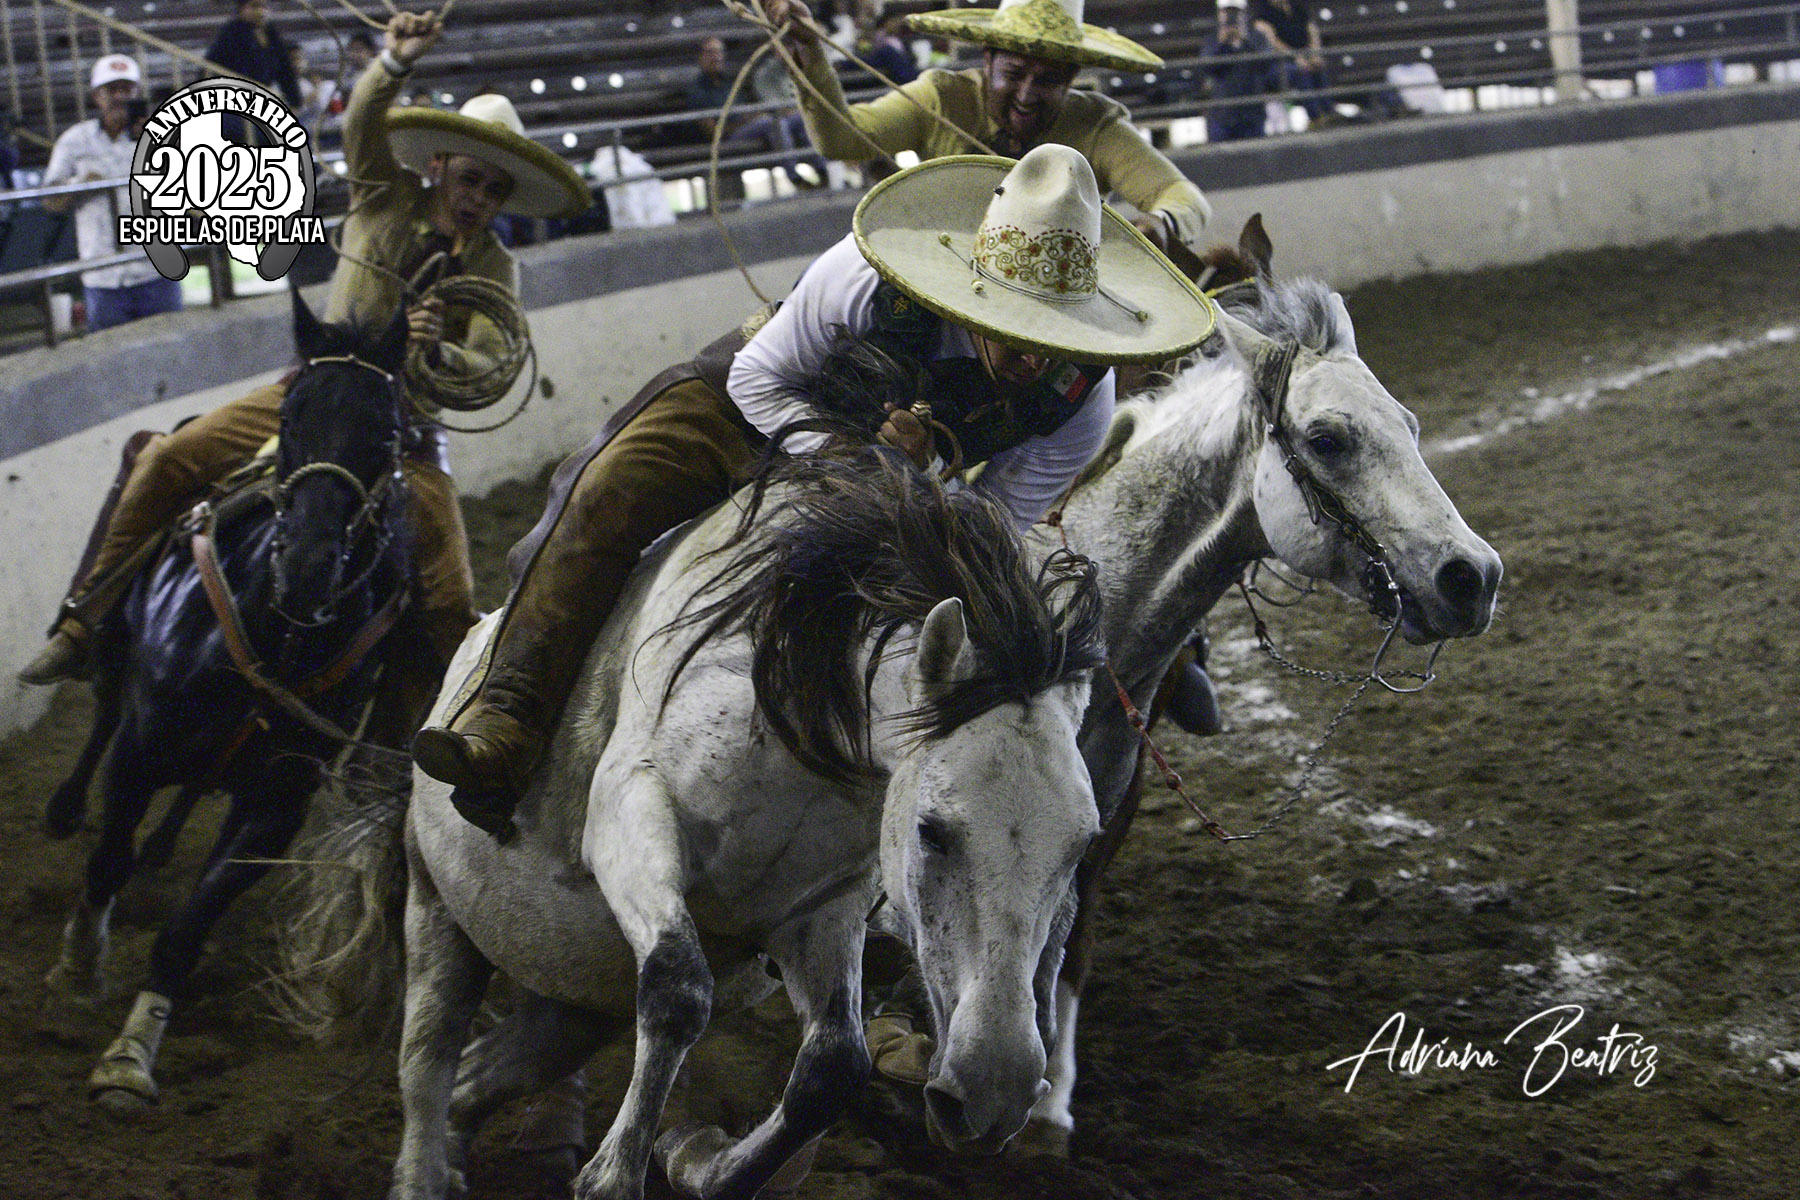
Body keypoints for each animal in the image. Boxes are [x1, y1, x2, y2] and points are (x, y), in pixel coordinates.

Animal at [39, 288, 415, 1112]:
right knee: (101, 716)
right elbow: (105, 863)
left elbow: (188, 928)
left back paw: (162, 842)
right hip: (114, 654)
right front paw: (79, 964)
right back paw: (64, 805)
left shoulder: (275, 805)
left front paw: (130, 1055)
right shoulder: (142, 749)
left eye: (388, 431)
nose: (307, 561)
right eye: (292, 414)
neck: (276, 633)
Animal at [389, 450, 1109, 1200]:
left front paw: (703, 1160)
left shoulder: (822, 909)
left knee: (482, 1076)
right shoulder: (630, 813)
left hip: (573, 998)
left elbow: (833, 1070)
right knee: (427, 1065)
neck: (800, 713)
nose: (998, 1090)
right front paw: (615, 1174)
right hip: (436, 906)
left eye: (1082, 847)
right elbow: (677, 987)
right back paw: (425, 1169)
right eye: (932, 830)